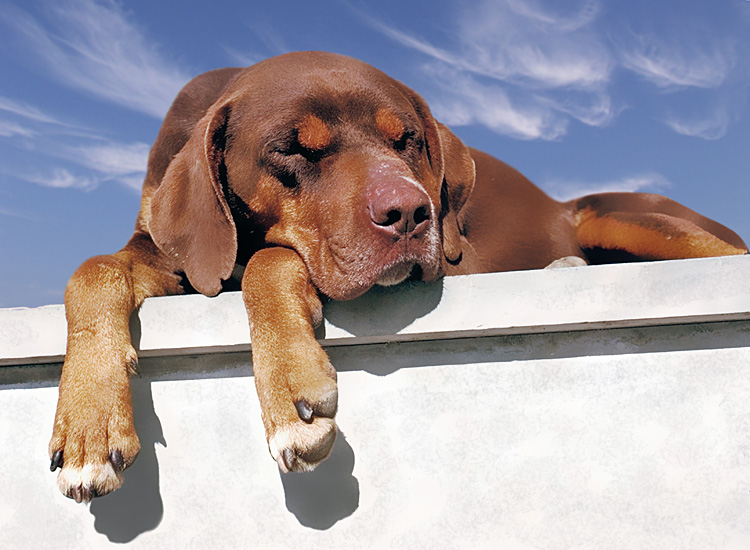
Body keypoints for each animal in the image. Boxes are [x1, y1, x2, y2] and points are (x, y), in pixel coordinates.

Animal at [48, 50, 750, 504]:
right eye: (292, 149)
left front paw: (291, 391)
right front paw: (85, 429)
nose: (413, 213)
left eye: (407, 138)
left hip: (623, 216)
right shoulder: (168, 249)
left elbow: (274, 260)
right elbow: (90, 273)